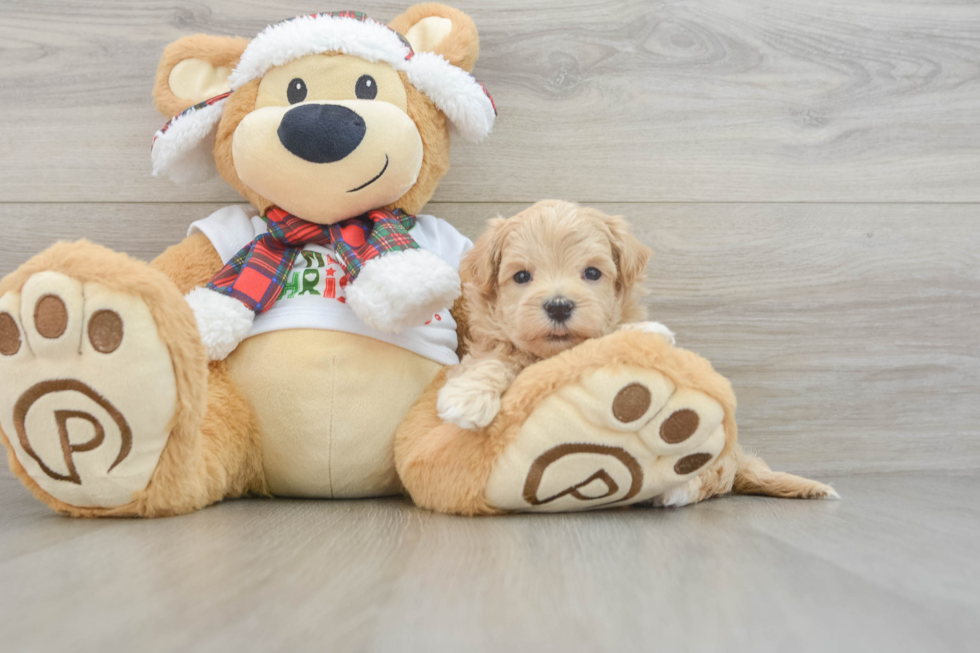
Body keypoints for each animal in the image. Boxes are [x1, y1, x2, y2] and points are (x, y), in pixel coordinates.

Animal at [436, 201, 672, 430]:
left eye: (592, 272)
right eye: (521, 276)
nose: (559, 307)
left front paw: (644, 331)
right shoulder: (490, 341)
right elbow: (491, 359)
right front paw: (467, 398)